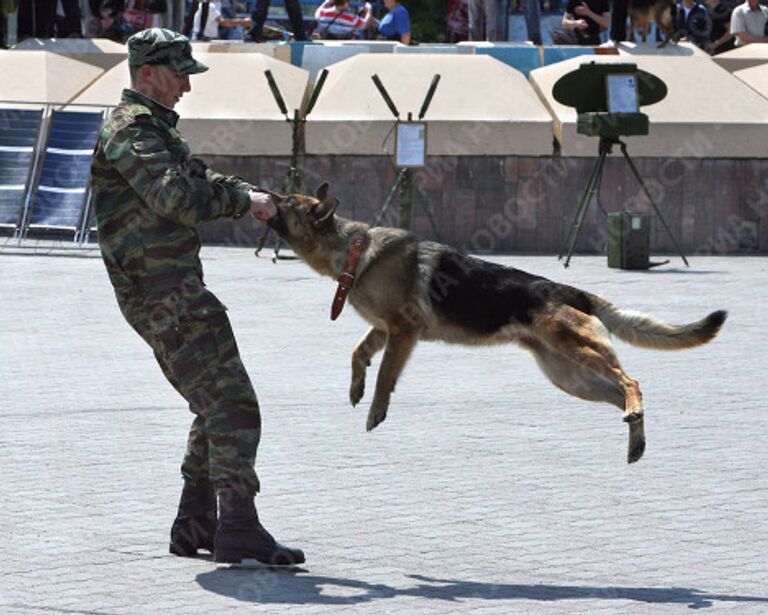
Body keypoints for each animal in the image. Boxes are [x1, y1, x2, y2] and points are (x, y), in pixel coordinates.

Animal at [268, 185, 728, 464]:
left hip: (576, 351)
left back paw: (634, 414)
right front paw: (355, 388)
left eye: (286, 201)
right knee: (621, 393)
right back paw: (636, 437)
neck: (354, 250)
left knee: (632, 381)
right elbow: (358, 354)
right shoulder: (384, 330)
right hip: (569, 377)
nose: (263, 189)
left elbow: (385, 375)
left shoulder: (403, 331)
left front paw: (376, 407)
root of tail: (570, 290)